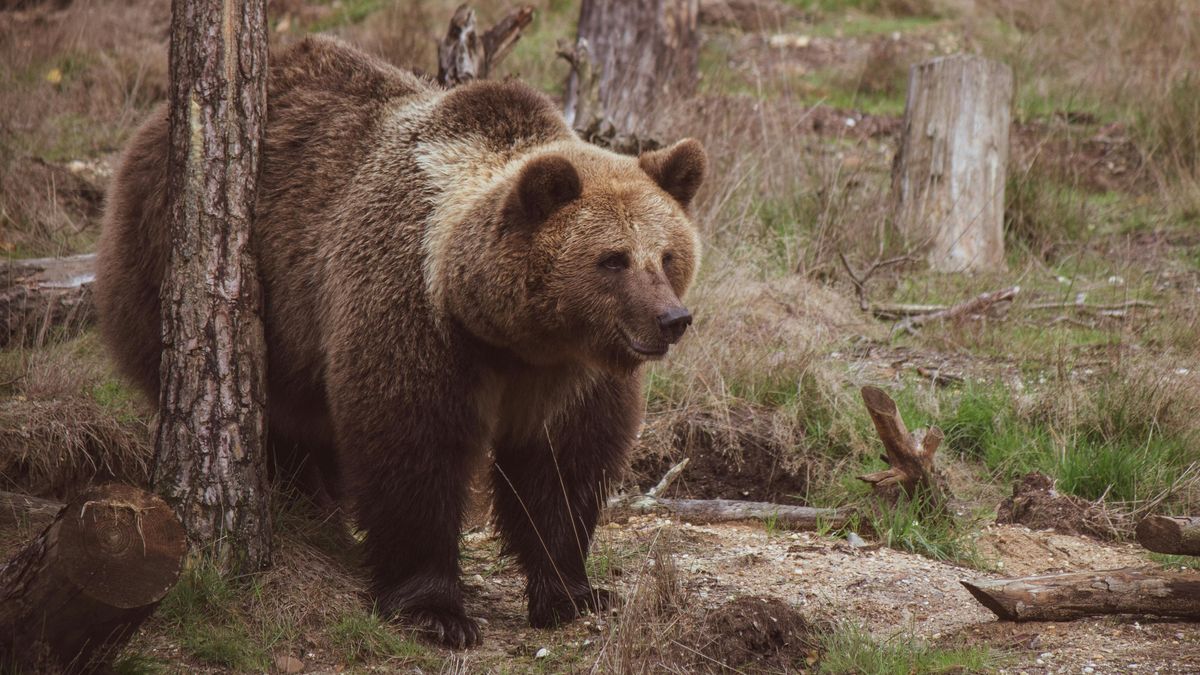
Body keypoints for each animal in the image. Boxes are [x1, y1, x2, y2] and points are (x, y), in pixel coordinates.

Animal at [96, 34, 700, 643]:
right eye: (613, 259)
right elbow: (412, 448)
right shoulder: (413, 313)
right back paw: (306, 504)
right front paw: (435, 610)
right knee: (280, 419)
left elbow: (561, 465)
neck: (508, 334)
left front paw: (574, 592)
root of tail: (151, 128)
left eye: (668, 255)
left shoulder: (569, 372)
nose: (672, 319)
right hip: (185, 267)